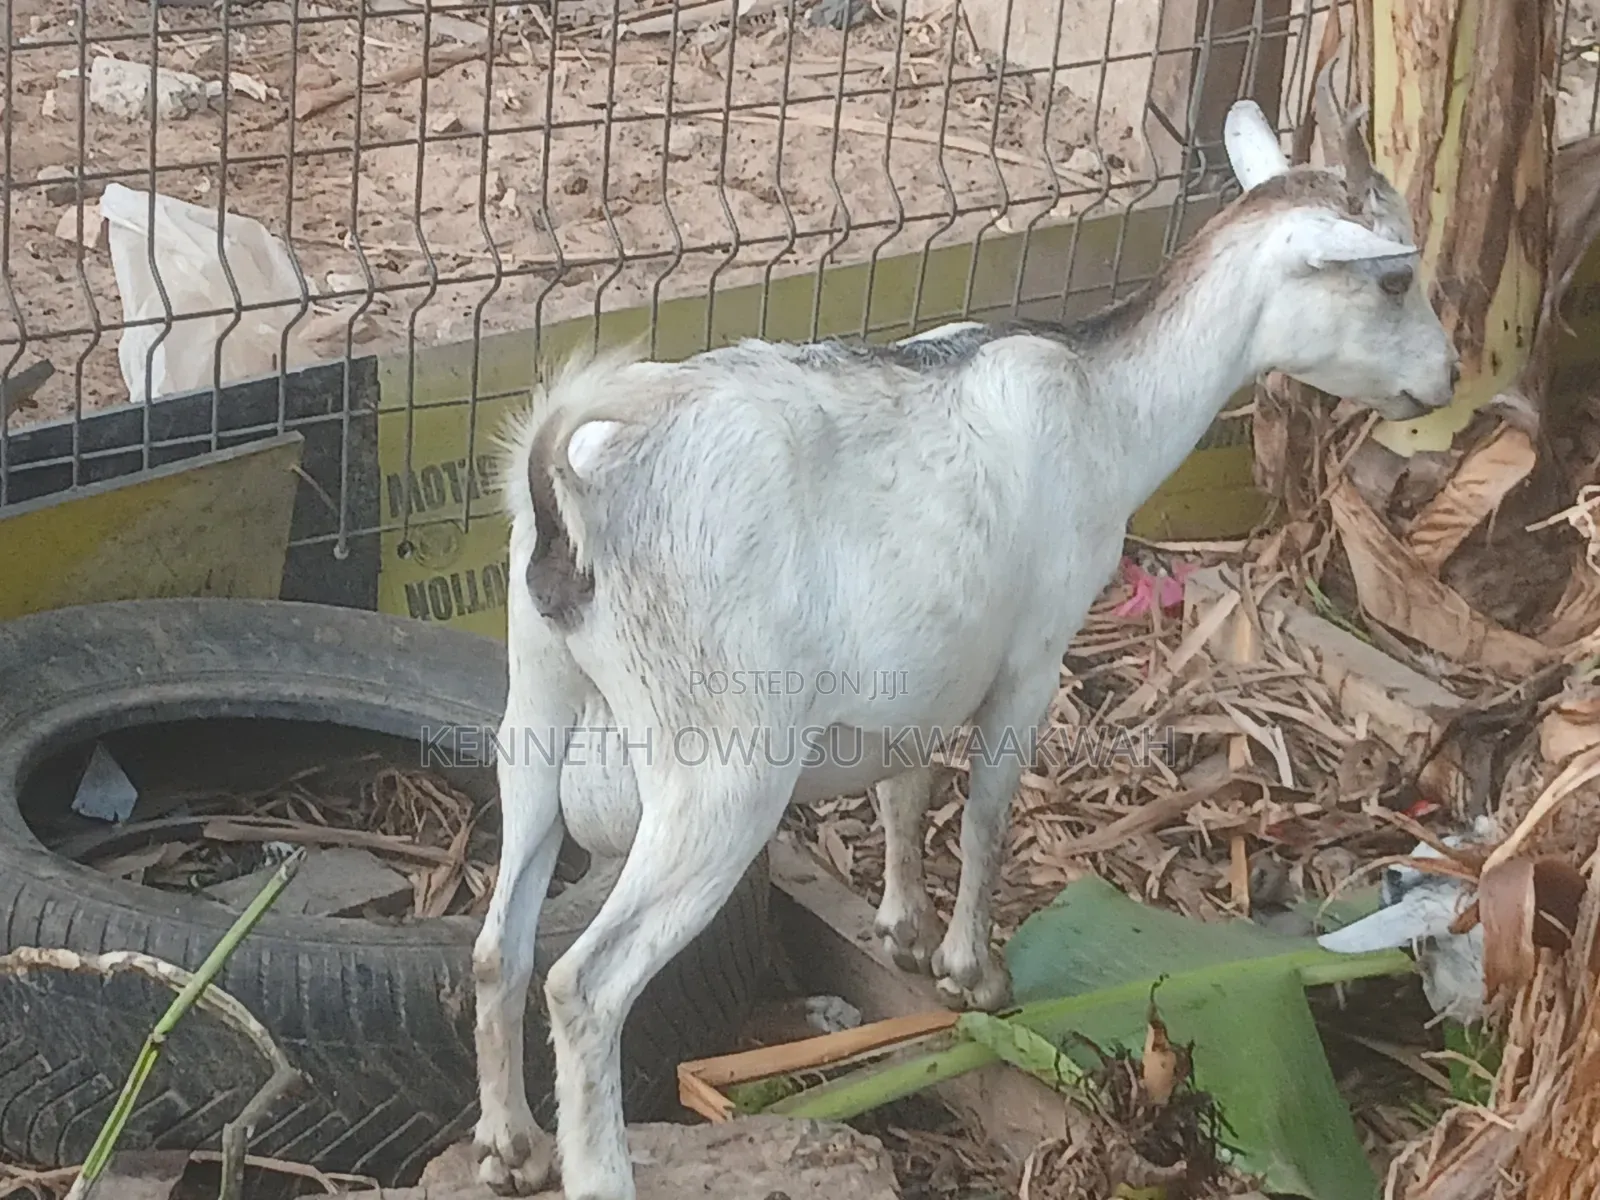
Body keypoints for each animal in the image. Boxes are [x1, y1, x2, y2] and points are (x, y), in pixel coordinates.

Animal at [469, 65, 1461, 1200]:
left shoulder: (921, 665)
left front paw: (899, 931)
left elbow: (907, 786)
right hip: (719, 764)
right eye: (1394, 278)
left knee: (497, 945)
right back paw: (594, 1165)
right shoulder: (1035, 649)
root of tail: (571, 489)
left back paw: (508, 1146)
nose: (1446, 379)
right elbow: (987, 809)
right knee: (585, 982)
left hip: (535, 708)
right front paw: (972, 974)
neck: (1107, 403)